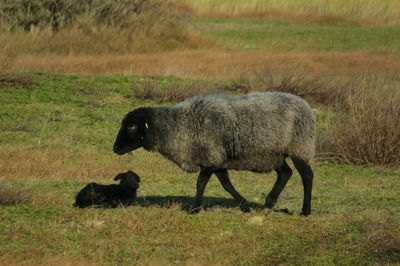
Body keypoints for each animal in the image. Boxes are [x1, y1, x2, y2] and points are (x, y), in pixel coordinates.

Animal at [114, 92, 318, 215]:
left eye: (132, 127)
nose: (115, 149)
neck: (179, 126)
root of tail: (305, 104)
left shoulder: (210, 157)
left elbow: (200, 183)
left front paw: (194, 208)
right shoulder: (217, 160)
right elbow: (226, 184)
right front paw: (244, 206)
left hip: (299, 147)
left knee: (307, 175)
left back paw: (305, 210)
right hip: (276, 154)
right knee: (285, 173)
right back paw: (268, 204)